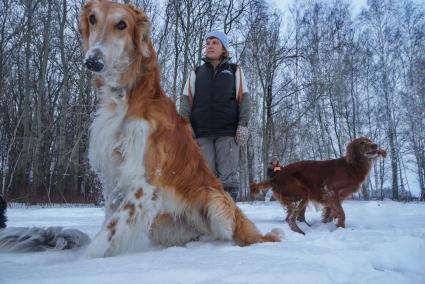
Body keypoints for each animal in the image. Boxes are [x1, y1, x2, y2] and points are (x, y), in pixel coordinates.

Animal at [0, 0, 280, 258]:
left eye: (122, 24)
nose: (93, 61)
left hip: (216, 202)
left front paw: (86, 260)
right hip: (162, 225)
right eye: (92, 18)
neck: (125, 98)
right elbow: (109, 220)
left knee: (230, 234)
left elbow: (110, 229)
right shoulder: (112, 174)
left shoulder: (144, 181)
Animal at [250, 138, 386, 235]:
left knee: (297, 216)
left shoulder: (335, 197)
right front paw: (341, 227)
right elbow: (341, 213)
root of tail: (275, 177)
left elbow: (330, 213)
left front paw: (327, 225)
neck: (352, 167)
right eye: (362, 142)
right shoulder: (330, 190)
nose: (375, 145)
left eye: (370, 140)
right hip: (303, 192)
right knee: (290, 218)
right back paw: (301, 232)